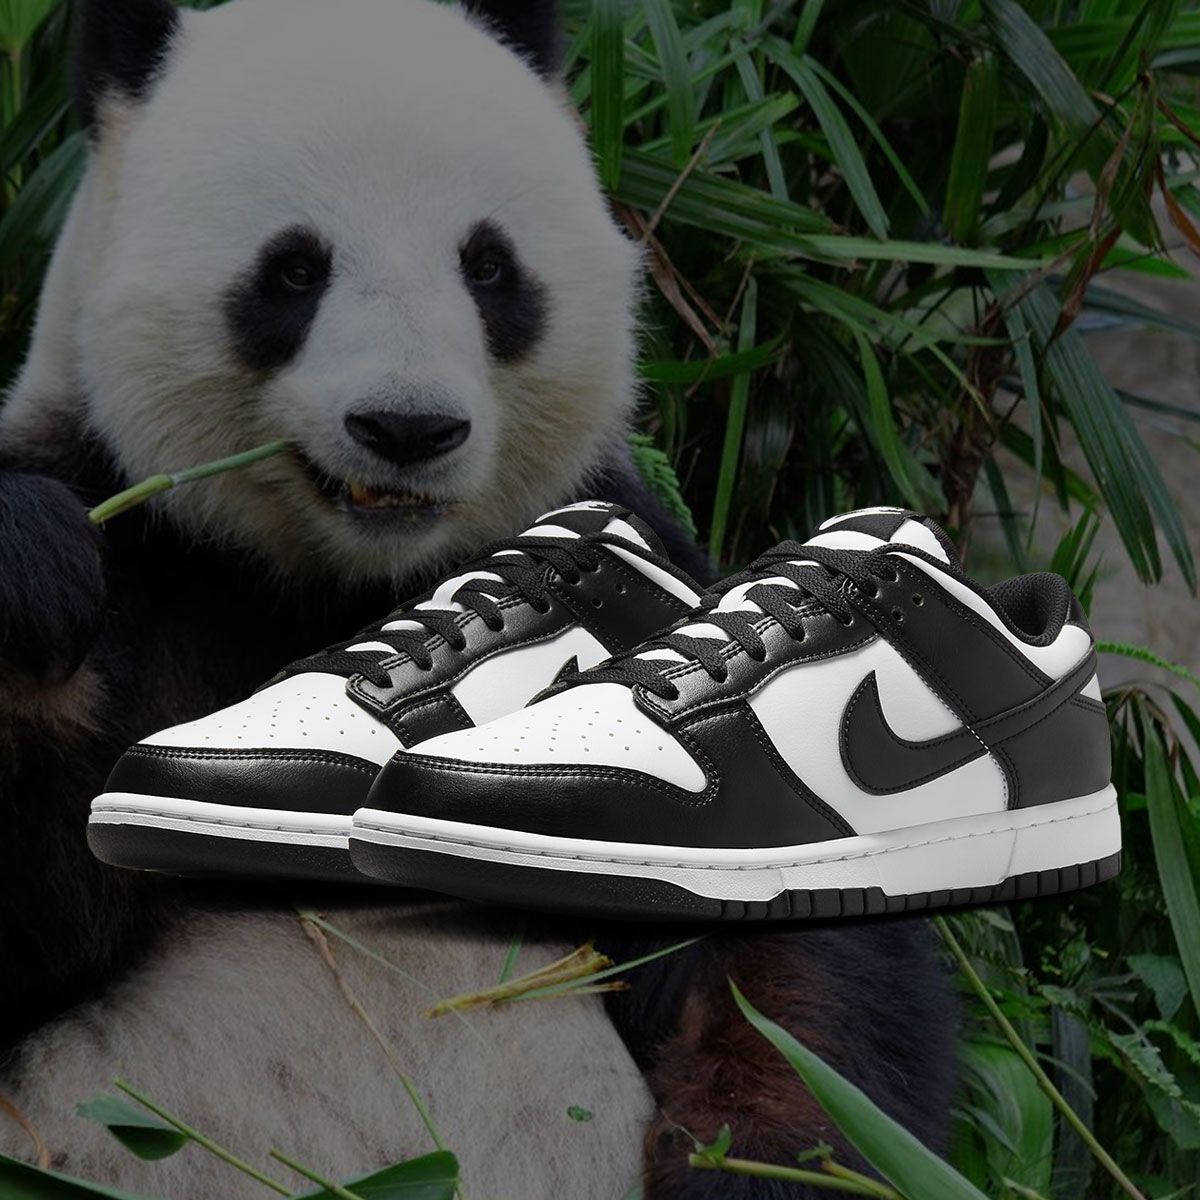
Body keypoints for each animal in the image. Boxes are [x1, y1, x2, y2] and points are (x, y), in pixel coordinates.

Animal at [0, 0, 956, 1196]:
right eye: (294, 270)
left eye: (489, 266)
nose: (407, 428)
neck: (345, 588)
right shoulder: (154, 561)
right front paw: (36, 581)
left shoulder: (626, 562)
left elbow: (784, 935)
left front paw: (770, 1157)